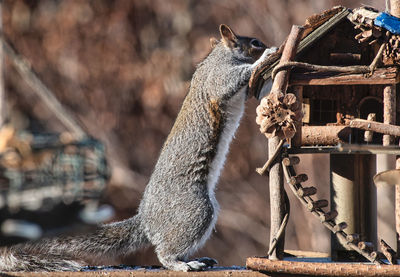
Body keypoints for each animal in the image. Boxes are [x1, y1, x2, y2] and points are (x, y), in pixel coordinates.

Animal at [0, 24, 276, 270]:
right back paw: (181, 264)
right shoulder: (218, 77)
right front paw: (267, 56)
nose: (264, 44)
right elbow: (233, 79)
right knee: (166, 250)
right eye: (254, 42)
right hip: (194, 209)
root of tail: (147, 221)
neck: (219, 54)